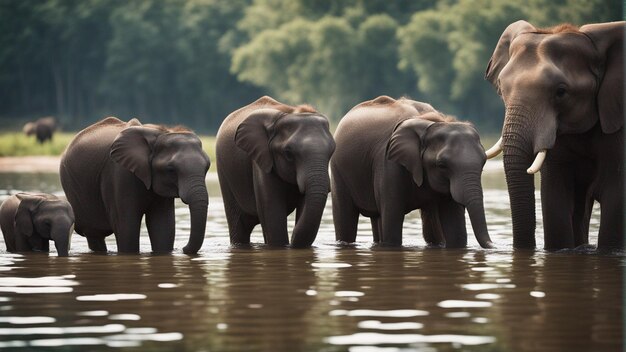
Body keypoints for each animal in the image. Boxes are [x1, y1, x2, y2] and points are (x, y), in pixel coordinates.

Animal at [58, 117, 210, 254]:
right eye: (171, 169)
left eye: (207, 167)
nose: (182, 249)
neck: (161, 132)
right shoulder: (120, 174)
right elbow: (127, 226)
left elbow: (163, 226)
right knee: (94, 232)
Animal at [214, 96, 334, 248]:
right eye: (288, 153)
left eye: (332, 151)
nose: (292, 241)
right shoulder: (261, 161)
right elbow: (273, 215)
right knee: (239, 225)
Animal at [330, 95, 494, 249]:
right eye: (442, 165)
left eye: (483, 163)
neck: (431, 122)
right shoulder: (389, 164)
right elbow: (392, 226)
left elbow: (455, 230)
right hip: (338, 170)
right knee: (346, 219)